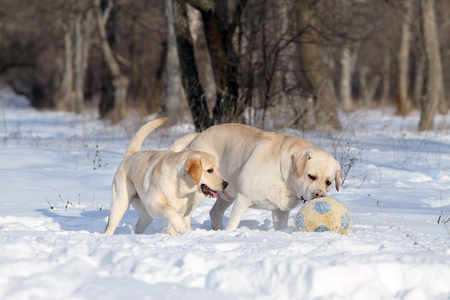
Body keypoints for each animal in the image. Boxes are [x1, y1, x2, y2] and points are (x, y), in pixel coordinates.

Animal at [171, 123, 340, 231]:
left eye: (328, 182)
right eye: (311, 176)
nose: (319, 194)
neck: (287, 178)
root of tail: (200, 134)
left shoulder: (280, 210)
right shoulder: (243, 199)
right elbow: (233, 224)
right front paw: (230, 234)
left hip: (226, 192)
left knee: (215, 213)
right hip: (200, 191)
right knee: (186, 214)